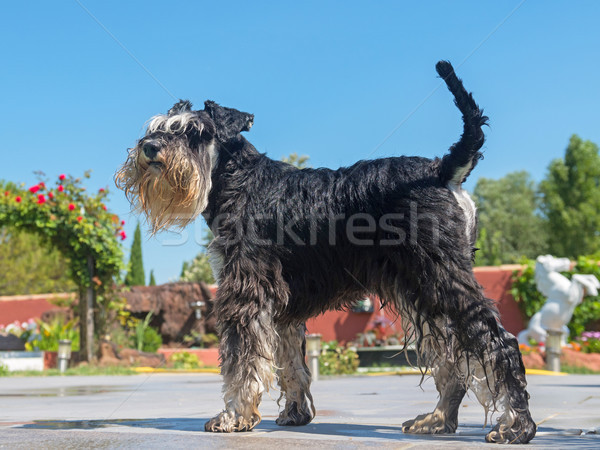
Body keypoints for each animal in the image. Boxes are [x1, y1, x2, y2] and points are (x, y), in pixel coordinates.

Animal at [116, 61, 536, 444]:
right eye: (156, 128)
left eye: (195, 132)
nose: (149, 148)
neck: (241, 180)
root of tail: (443, 169)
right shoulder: (282, 307)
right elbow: (290, 363)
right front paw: (295, 413)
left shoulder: (245, 293)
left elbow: (242, 363)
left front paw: (233, 416)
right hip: (425, 294)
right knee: (452, 358)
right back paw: (436, 420)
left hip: (444, 282)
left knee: (499, 343)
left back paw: (516, 426)